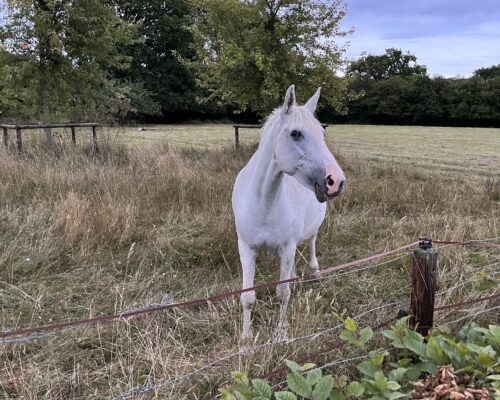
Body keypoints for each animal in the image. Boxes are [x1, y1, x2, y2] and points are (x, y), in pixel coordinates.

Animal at [232, 85, 346, 340]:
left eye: (322, 134)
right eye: (295, 134)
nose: (336, 181)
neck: (263, 202)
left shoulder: (287, 247)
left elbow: (282, 292)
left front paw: (281, 334)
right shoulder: (246, 248)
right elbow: (247, 297)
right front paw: (245, 339)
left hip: (310, 231)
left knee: (312, 243)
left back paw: (315, 272)